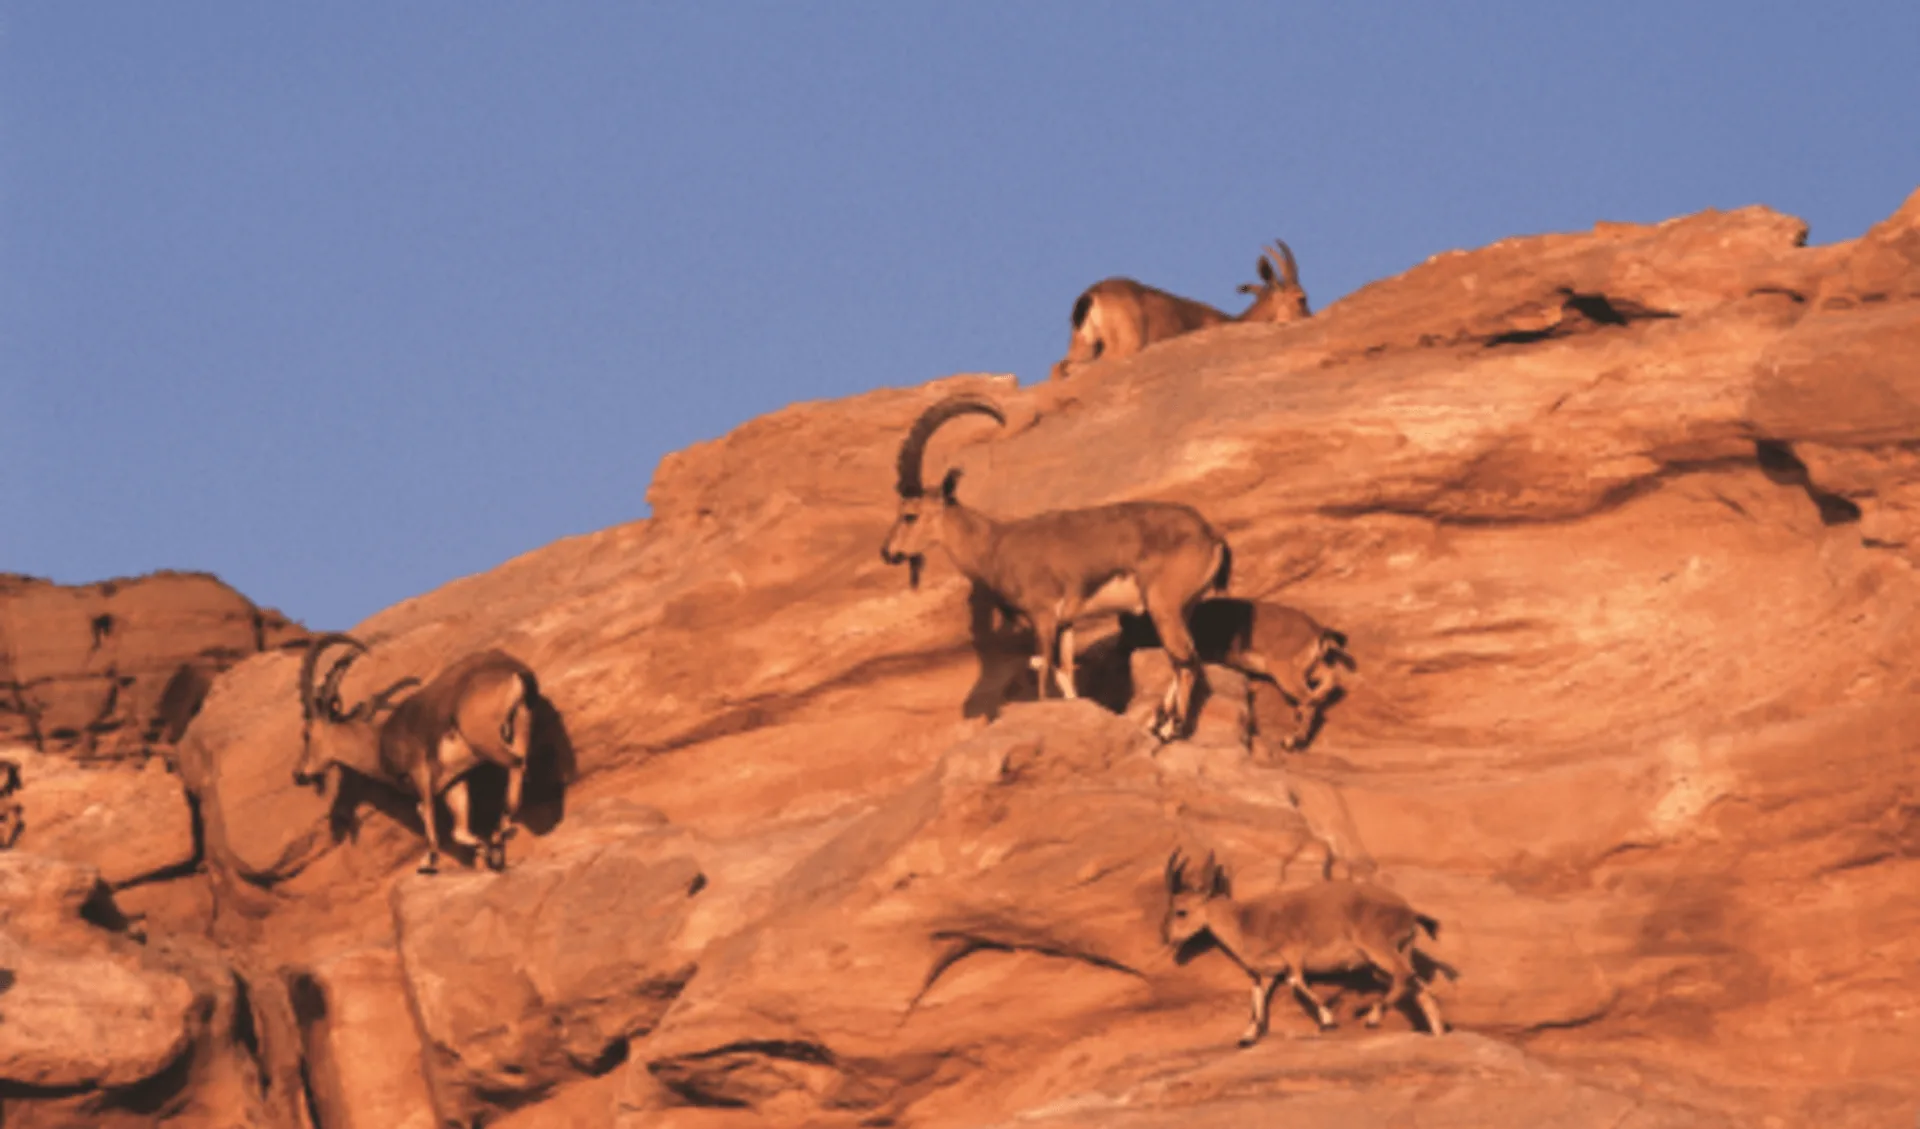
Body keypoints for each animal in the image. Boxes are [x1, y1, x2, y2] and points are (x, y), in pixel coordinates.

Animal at [295, 633, 545, 871]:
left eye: (306, 734)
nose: (299, 775)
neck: (380, 743)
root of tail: (513, 671)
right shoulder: (454, 781)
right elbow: (459, 831)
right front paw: (486, 851)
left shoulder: (420, 772)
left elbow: (426, 811)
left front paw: (428, 860)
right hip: (521, 722)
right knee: (521, 765)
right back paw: (500, 835)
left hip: (484, 738)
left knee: (516, 763)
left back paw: (502, 831)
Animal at [879, 397, 1228, 741]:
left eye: (910, 515)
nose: (888, 552)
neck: (995, 544)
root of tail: (1211, 535)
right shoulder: (1065, 622)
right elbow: (1065, 674)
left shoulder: (1043, 615)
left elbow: (1042, 669)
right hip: (1181, 608)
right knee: (1182, 659)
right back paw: (1160, 722)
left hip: (1162, 606)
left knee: (1185, 660)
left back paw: (1171, 728)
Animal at [1052, 237, 1305, 380]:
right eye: (1301, 298)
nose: (1308, 317)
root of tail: (1091, 295)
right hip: (1122, 347)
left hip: (1082, 344)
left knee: (1059, 367)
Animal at [1113, 599, 1351, 748]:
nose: (1123, 646)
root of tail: (1318, 632)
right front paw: (1158, 724)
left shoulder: (1195, 659)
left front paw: (1168, 730)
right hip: (1307, 669)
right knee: (1330, 680)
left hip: (1285, 673)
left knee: (1309, 700)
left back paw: (1293, 740)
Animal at [1159, 852, 1443, 1044]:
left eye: (1181, 911)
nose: (1166, 938)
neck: (1245, 923)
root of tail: (1409, 912)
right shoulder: (1266, 973)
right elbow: (1257, 1002)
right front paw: (1247, 1037)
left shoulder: (1293, 954)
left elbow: (1297, 982)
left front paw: (1328, 1021)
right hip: (1389, 958)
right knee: (1418, 986)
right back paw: (1437, 1033)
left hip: (1376, 947)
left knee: (1405, 976)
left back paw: (1373, 1017)